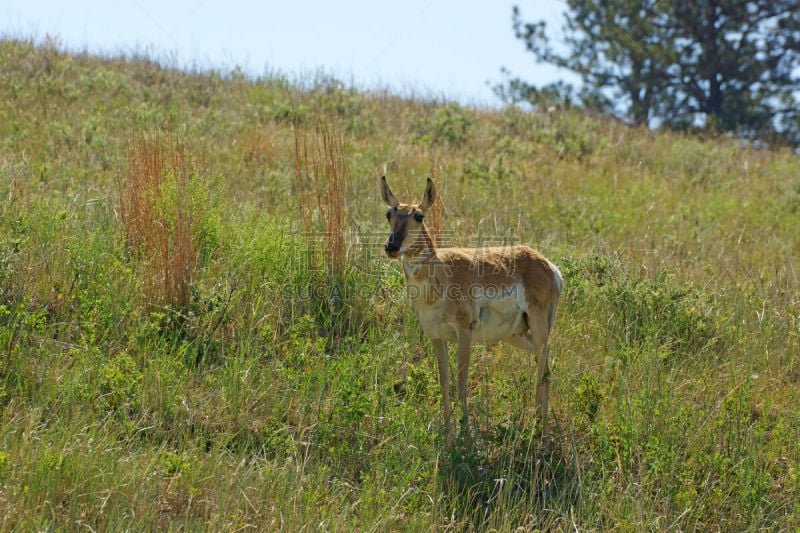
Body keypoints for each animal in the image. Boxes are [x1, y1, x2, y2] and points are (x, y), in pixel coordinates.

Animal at [382, 177, 564, 442]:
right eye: (389, 214)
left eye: (419, 215)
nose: (391, 246)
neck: (442, 276)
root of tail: (549, 266)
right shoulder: (436, 336)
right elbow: (444, 382)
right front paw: (448, 436)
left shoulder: (464, 333)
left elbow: (461, 383)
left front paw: (466, 437)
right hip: (515, 335)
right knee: (544, 362)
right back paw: (537, 423)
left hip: (539, 326)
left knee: (545, 369)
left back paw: (542, 431)